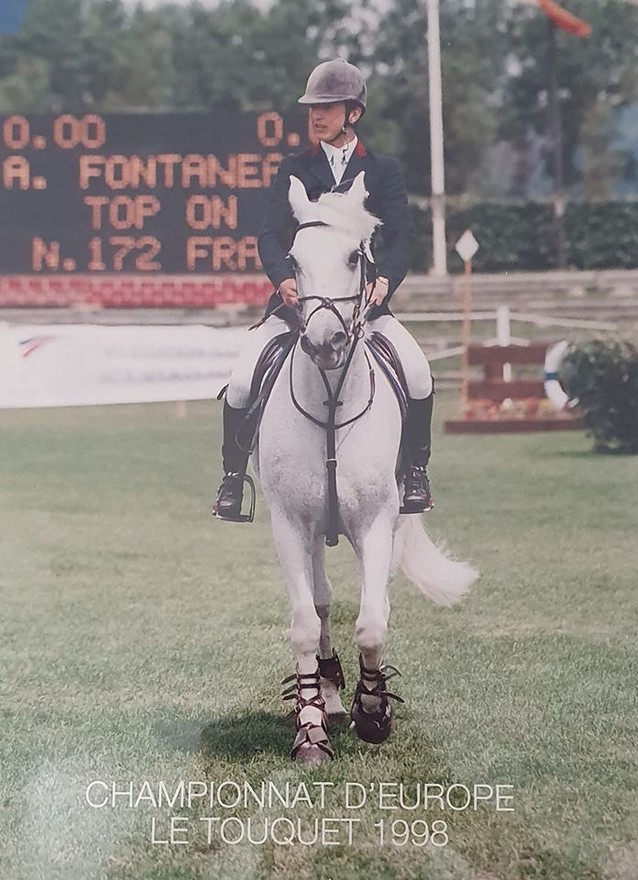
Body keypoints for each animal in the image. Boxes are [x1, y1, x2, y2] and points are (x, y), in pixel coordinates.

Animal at [252, 172, 478, 764]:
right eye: (293, 258)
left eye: (356, 256)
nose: (324, 342)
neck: (332, 399)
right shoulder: (290, 525)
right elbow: (306, 623)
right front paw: (311, 728)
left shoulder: (376, 522)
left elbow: (373, 622)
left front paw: (374, 713)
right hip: (314, 532)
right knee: (324, 603)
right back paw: (328, 692)